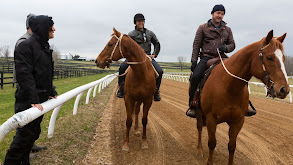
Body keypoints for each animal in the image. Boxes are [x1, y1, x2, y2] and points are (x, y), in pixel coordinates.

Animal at [195, 30, 288, 164]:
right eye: (269, 57)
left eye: (284, 58)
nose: (284, 89)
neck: (229, 86)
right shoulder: (211, 118)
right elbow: (212, 143)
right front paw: (209, 161)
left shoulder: (238, 121)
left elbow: (232, 146)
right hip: (198, 111)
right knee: (199, 128)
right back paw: (199, 150)